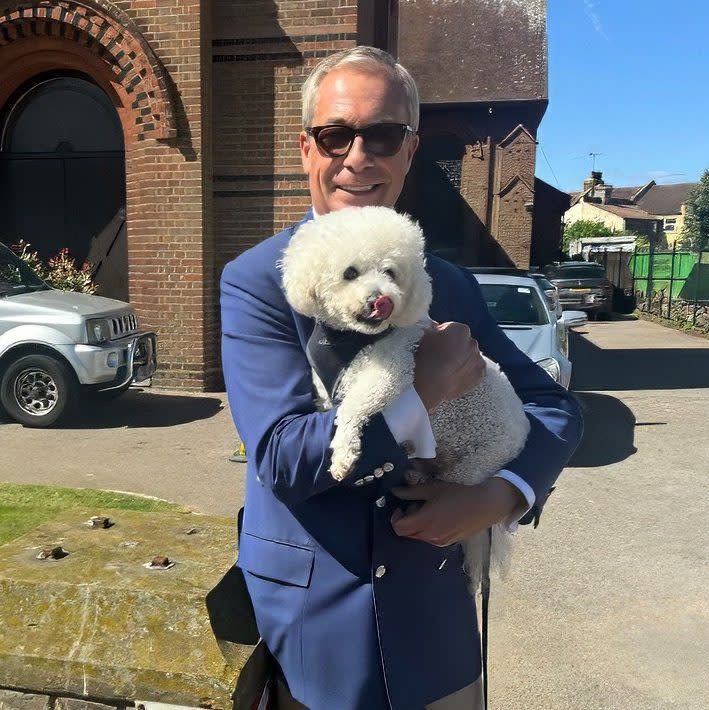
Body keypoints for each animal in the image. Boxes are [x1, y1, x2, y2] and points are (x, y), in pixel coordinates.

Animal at [280, 206, 528, 588]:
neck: (353, 340)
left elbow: (354, 408)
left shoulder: (389, 370)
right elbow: (328, 404)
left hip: (476, 464)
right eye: (350, 272)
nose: (383, 300)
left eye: (390, 273)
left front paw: (344, 454)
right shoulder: (328, 383)